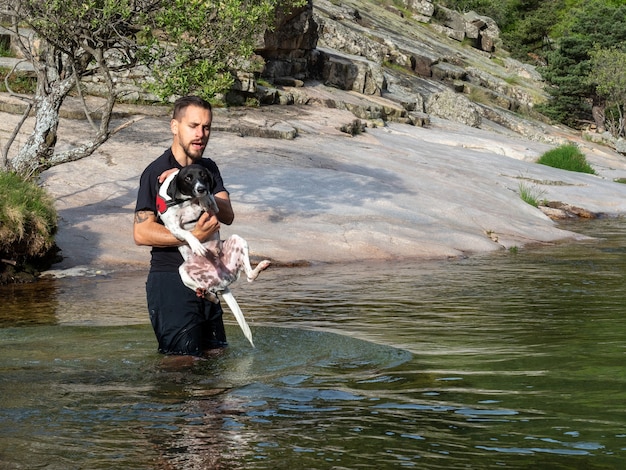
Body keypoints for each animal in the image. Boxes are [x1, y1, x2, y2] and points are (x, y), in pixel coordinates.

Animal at [156, 164, 268, 346]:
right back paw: (205, 293)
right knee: (208, 293)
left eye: (203, 175)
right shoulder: (172, 226)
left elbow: (211, 202)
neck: (187, 200)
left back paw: (261, 267)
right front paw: (196, 244)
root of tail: (222, 280)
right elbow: (187, 233)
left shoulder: (214, 208)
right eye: (188, 178)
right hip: (183, 271)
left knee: (250, 276)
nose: (201, 189)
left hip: (238, 240)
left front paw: (205, 200)